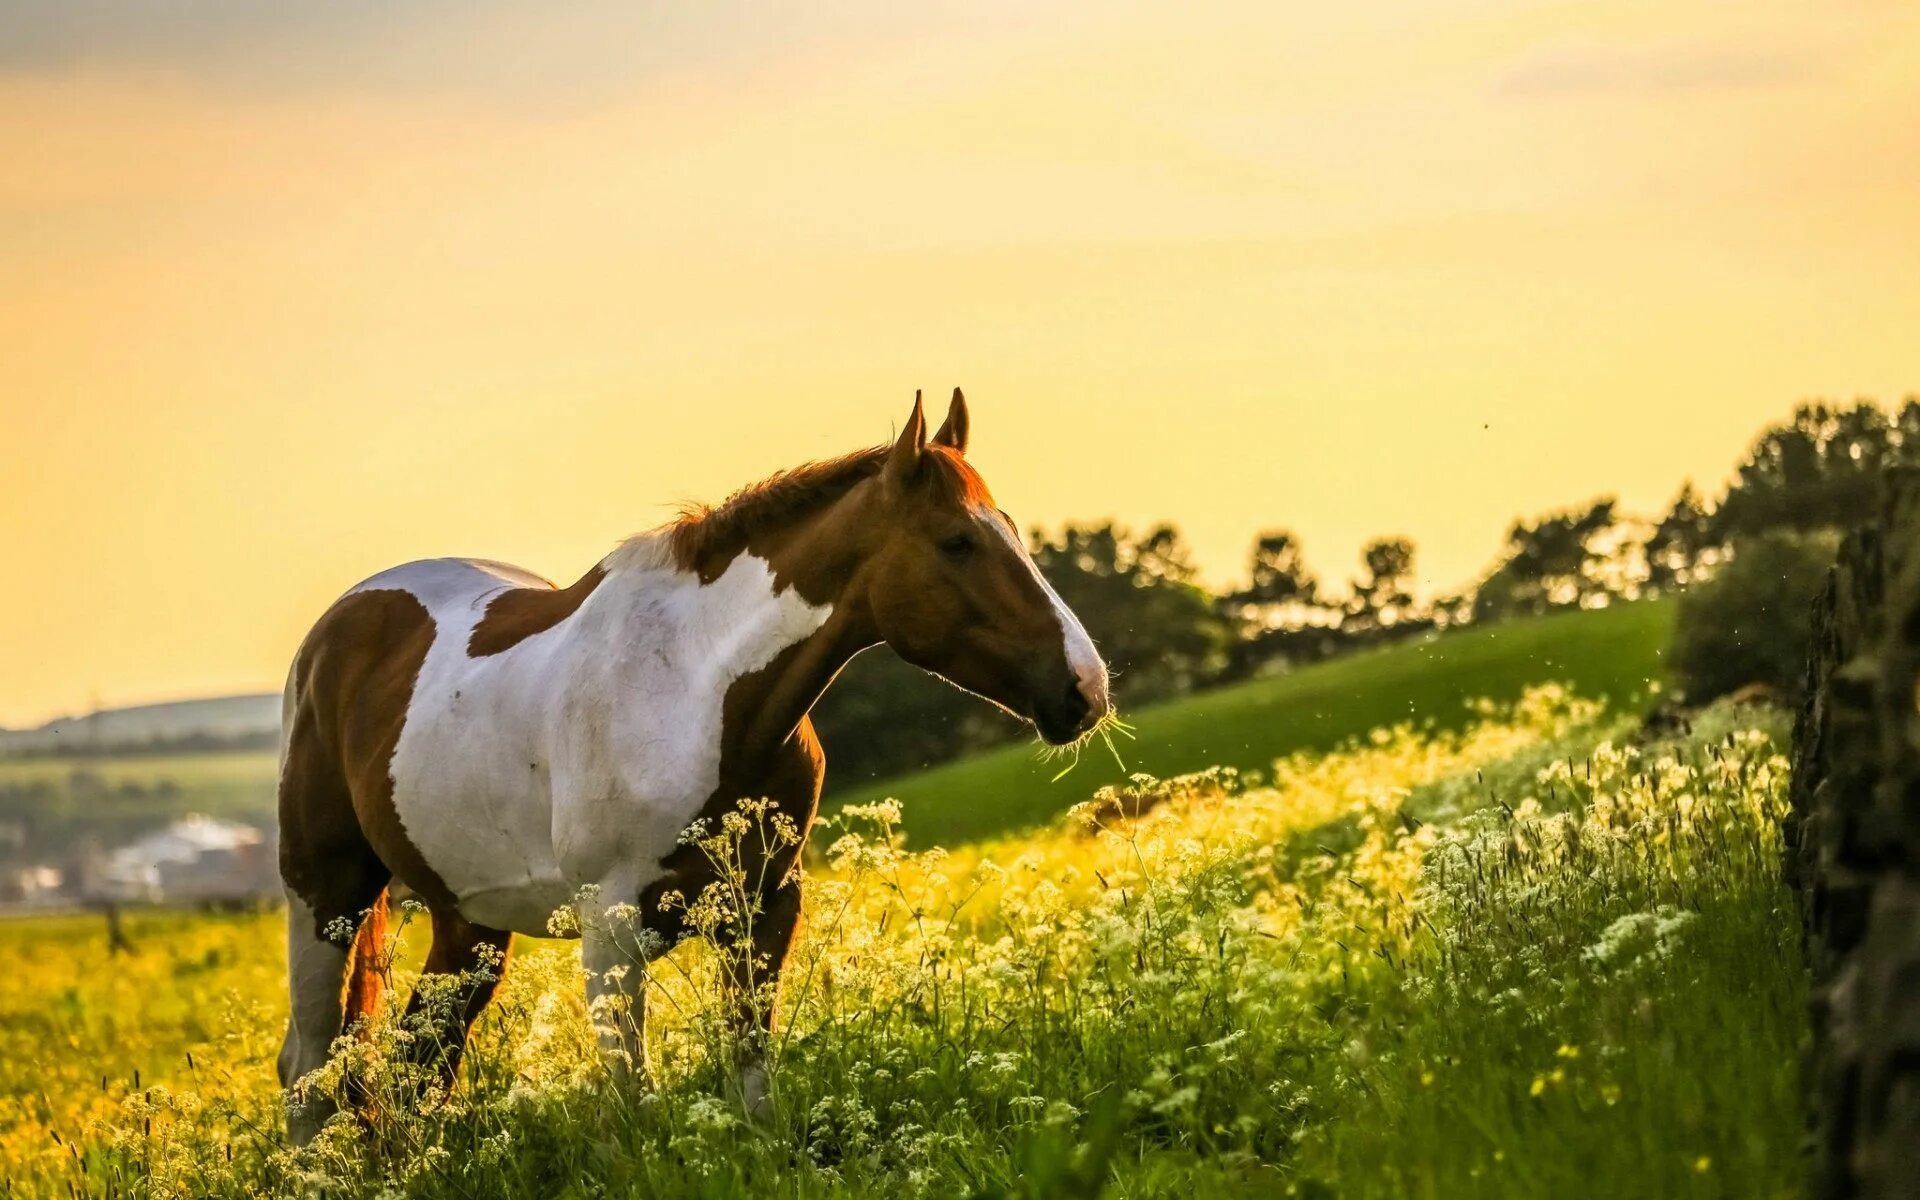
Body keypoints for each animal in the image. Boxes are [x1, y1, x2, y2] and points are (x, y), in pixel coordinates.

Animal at [272, 393, 1113, 1144]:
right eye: (956, 542)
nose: (1086, 688)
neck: (696, 686)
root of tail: (332, 634)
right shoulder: (611, 927)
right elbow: (631, 1091)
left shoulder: (767, 904)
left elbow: (750, 1060)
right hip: (326, 897)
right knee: (309, 1063)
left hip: (467, 922)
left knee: (419, 1061)